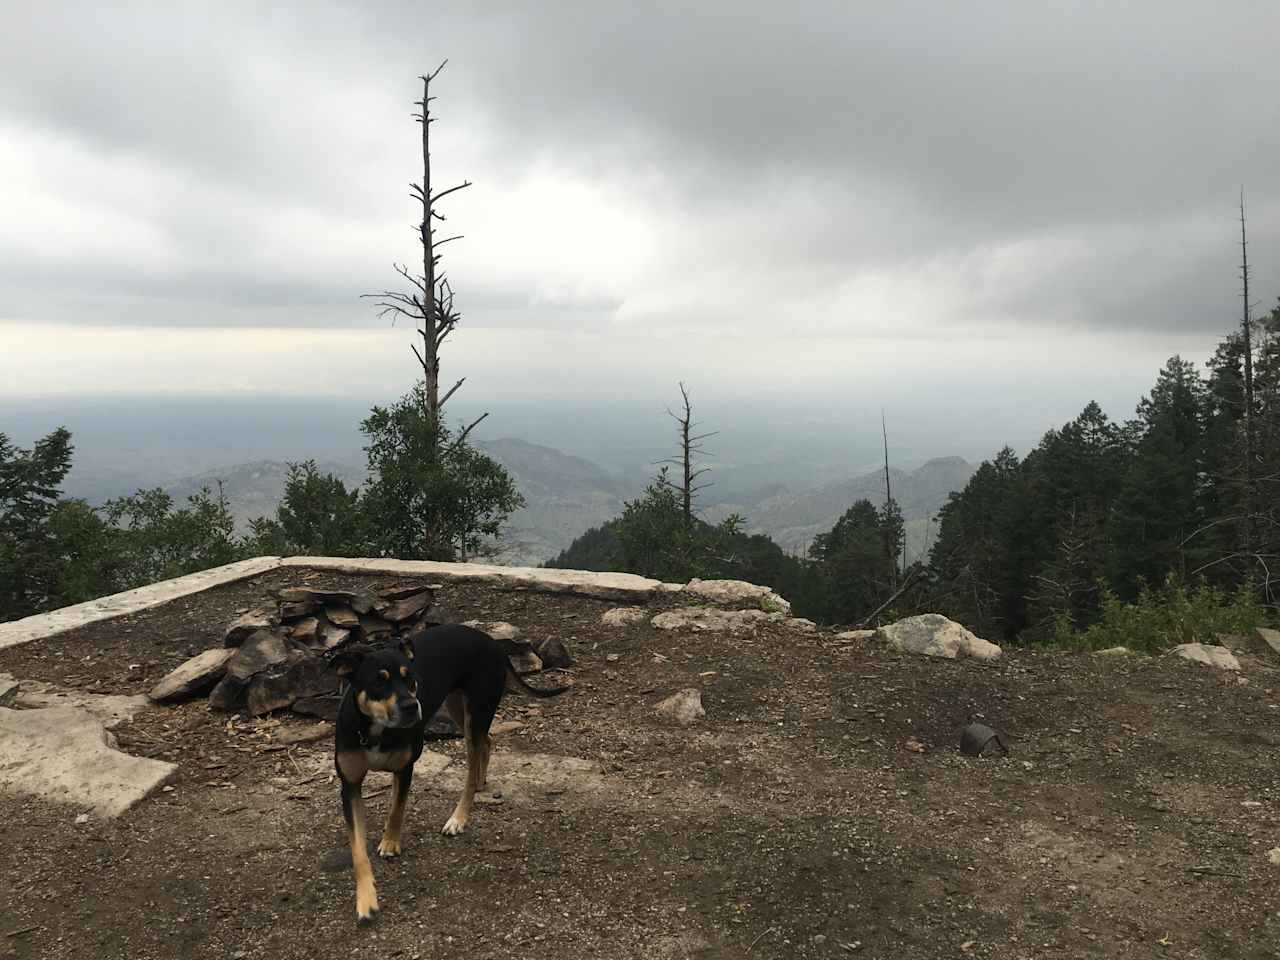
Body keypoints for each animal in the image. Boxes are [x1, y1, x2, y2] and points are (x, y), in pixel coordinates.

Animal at [332, 624, 573, 926]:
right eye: (378, 682)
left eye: (410, 679)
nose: (411, 706)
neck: (376, 731)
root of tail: (491, 641)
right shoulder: (350, 785)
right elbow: (358, 851)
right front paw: (366, 901)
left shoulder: (406, 768)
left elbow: (397, 809)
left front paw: (390, 841)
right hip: (460, 707)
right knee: (487, 742)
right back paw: (480, 780)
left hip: (476, 711)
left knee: (471, 766)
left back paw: (459, 817)